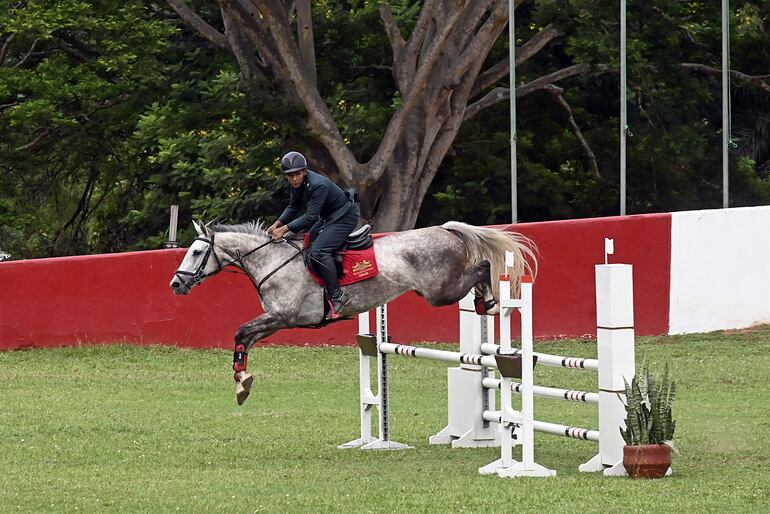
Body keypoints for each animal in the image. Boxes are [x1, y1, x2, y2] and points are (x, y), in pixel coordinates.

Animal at [168, 220, 536, 404]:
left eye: (197, 251)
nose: (176, 284)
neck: (271, 261)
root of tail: (445, 229)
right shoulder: (276, 321)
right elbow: (243, 337)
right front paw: (242, 382)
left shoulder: (283, 317)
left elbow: (241, 331)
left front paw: (242, 383)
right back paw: (484, 302)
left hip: (439, 291)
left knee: (483, 265)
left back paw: (488, 301)